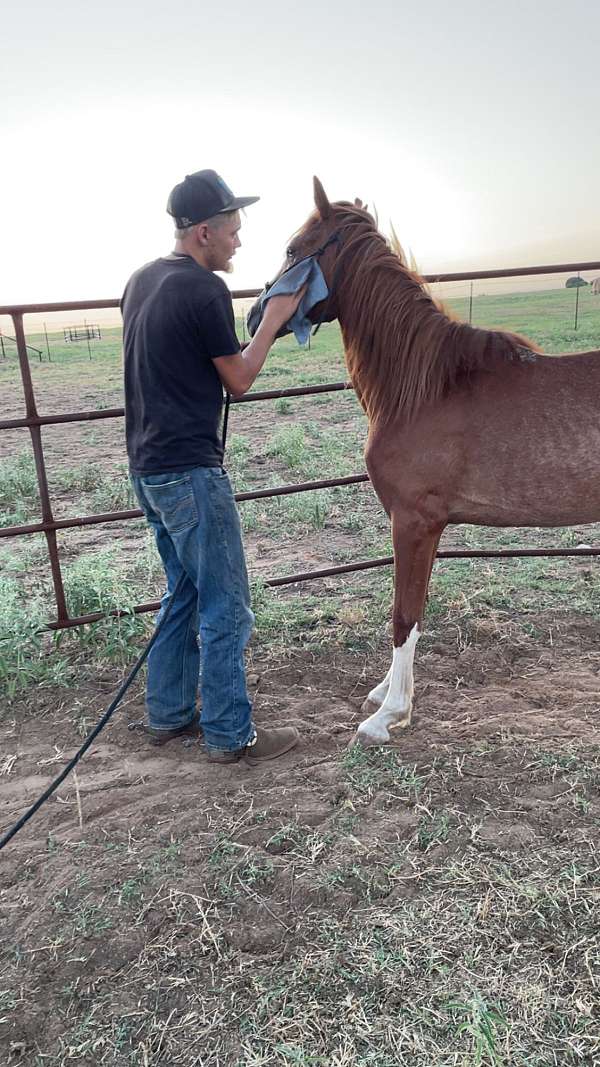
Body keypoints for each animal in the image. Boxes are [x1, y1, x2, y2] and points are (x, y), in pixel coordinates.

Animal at [257, 177, 600, 747]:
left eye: (292, 250)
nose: (254, 317)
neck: (423, 388)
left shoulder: (414, 522)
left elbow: (404, 615)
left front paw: (388, 714)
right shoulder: (426, 525)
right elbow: (411, 612)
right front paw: (386, 695)